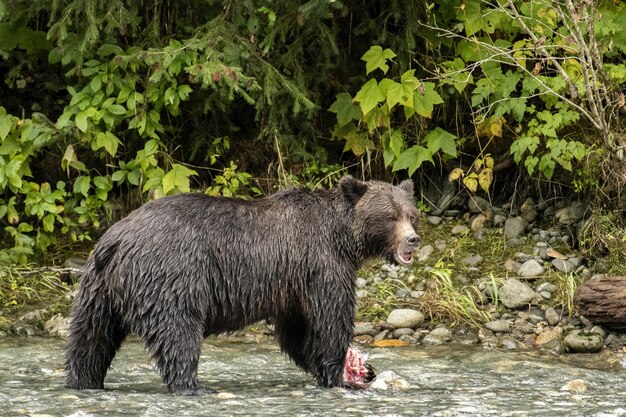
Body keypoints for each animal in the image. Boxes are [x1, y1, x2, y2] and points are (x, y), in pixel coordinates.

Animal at [64, 175, 420, 394]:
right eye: (390, 216)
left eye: (412, 214)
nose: (414, 240)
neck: (344, 237)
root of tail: (117, 240)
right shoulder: (320, 262)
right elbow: (330, 319)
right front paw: (340, 375)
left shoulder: (292, 288)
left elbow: (297, 332)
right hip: (171, 275)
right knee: (177, 330)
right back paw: (193, 386)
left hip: (98, 289)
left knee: (90, 339)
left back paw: (83, 381)